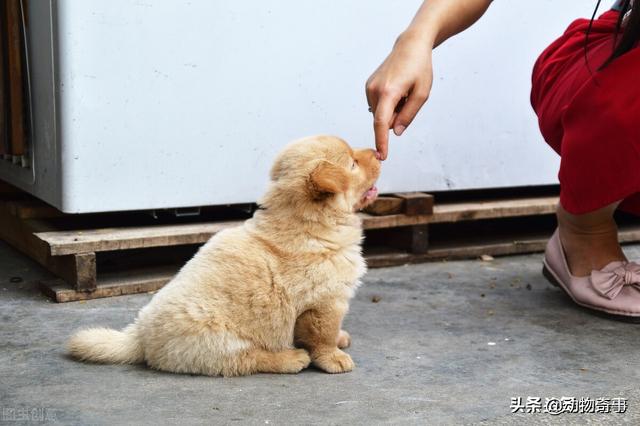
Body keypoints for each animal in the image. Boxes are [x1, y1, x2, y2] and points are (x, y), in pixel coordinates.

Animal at [67, 136, 380, 376]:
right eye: (353, 163)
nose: (378, 152)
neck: (310, 224)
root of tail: (139, 336)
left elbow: (325, 333)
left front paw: (340, 340)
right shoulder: (324, 302)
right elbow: (322, 336)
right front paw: (334, 358)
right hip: (218, 341)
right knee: (248, 359)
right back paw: (290, 359)